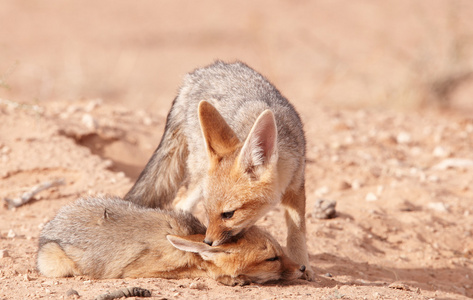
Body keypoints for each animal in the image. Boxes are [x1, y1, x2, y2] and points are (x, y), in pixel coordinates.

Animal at [123, 61, 312, 282]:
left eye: (228, 214)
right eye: (207, 211)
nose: (208, 242)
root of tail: (196, 75)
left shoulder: (297, 185)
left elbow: (297, 231)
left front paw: (303, 264)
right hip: (199, 178)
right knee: (180, 202)